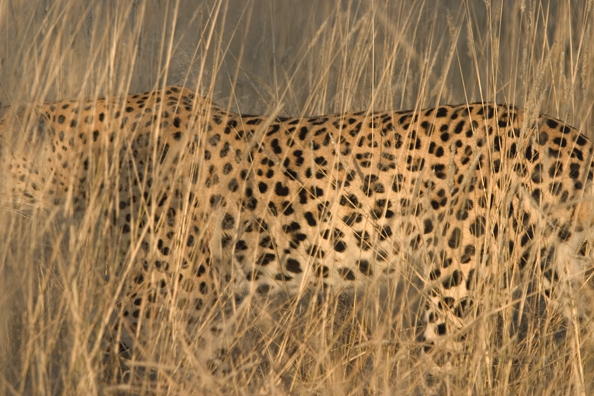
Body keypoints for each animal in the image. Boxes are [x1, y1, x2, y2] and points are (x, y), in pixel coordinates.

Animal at [1, 86, 592, 392]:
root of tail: (563, 131)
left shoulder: (163, 303)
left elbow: (127, 358)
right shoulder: (218, 304)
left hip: (457, 293)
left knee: (439, 369)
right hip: (570, 277)